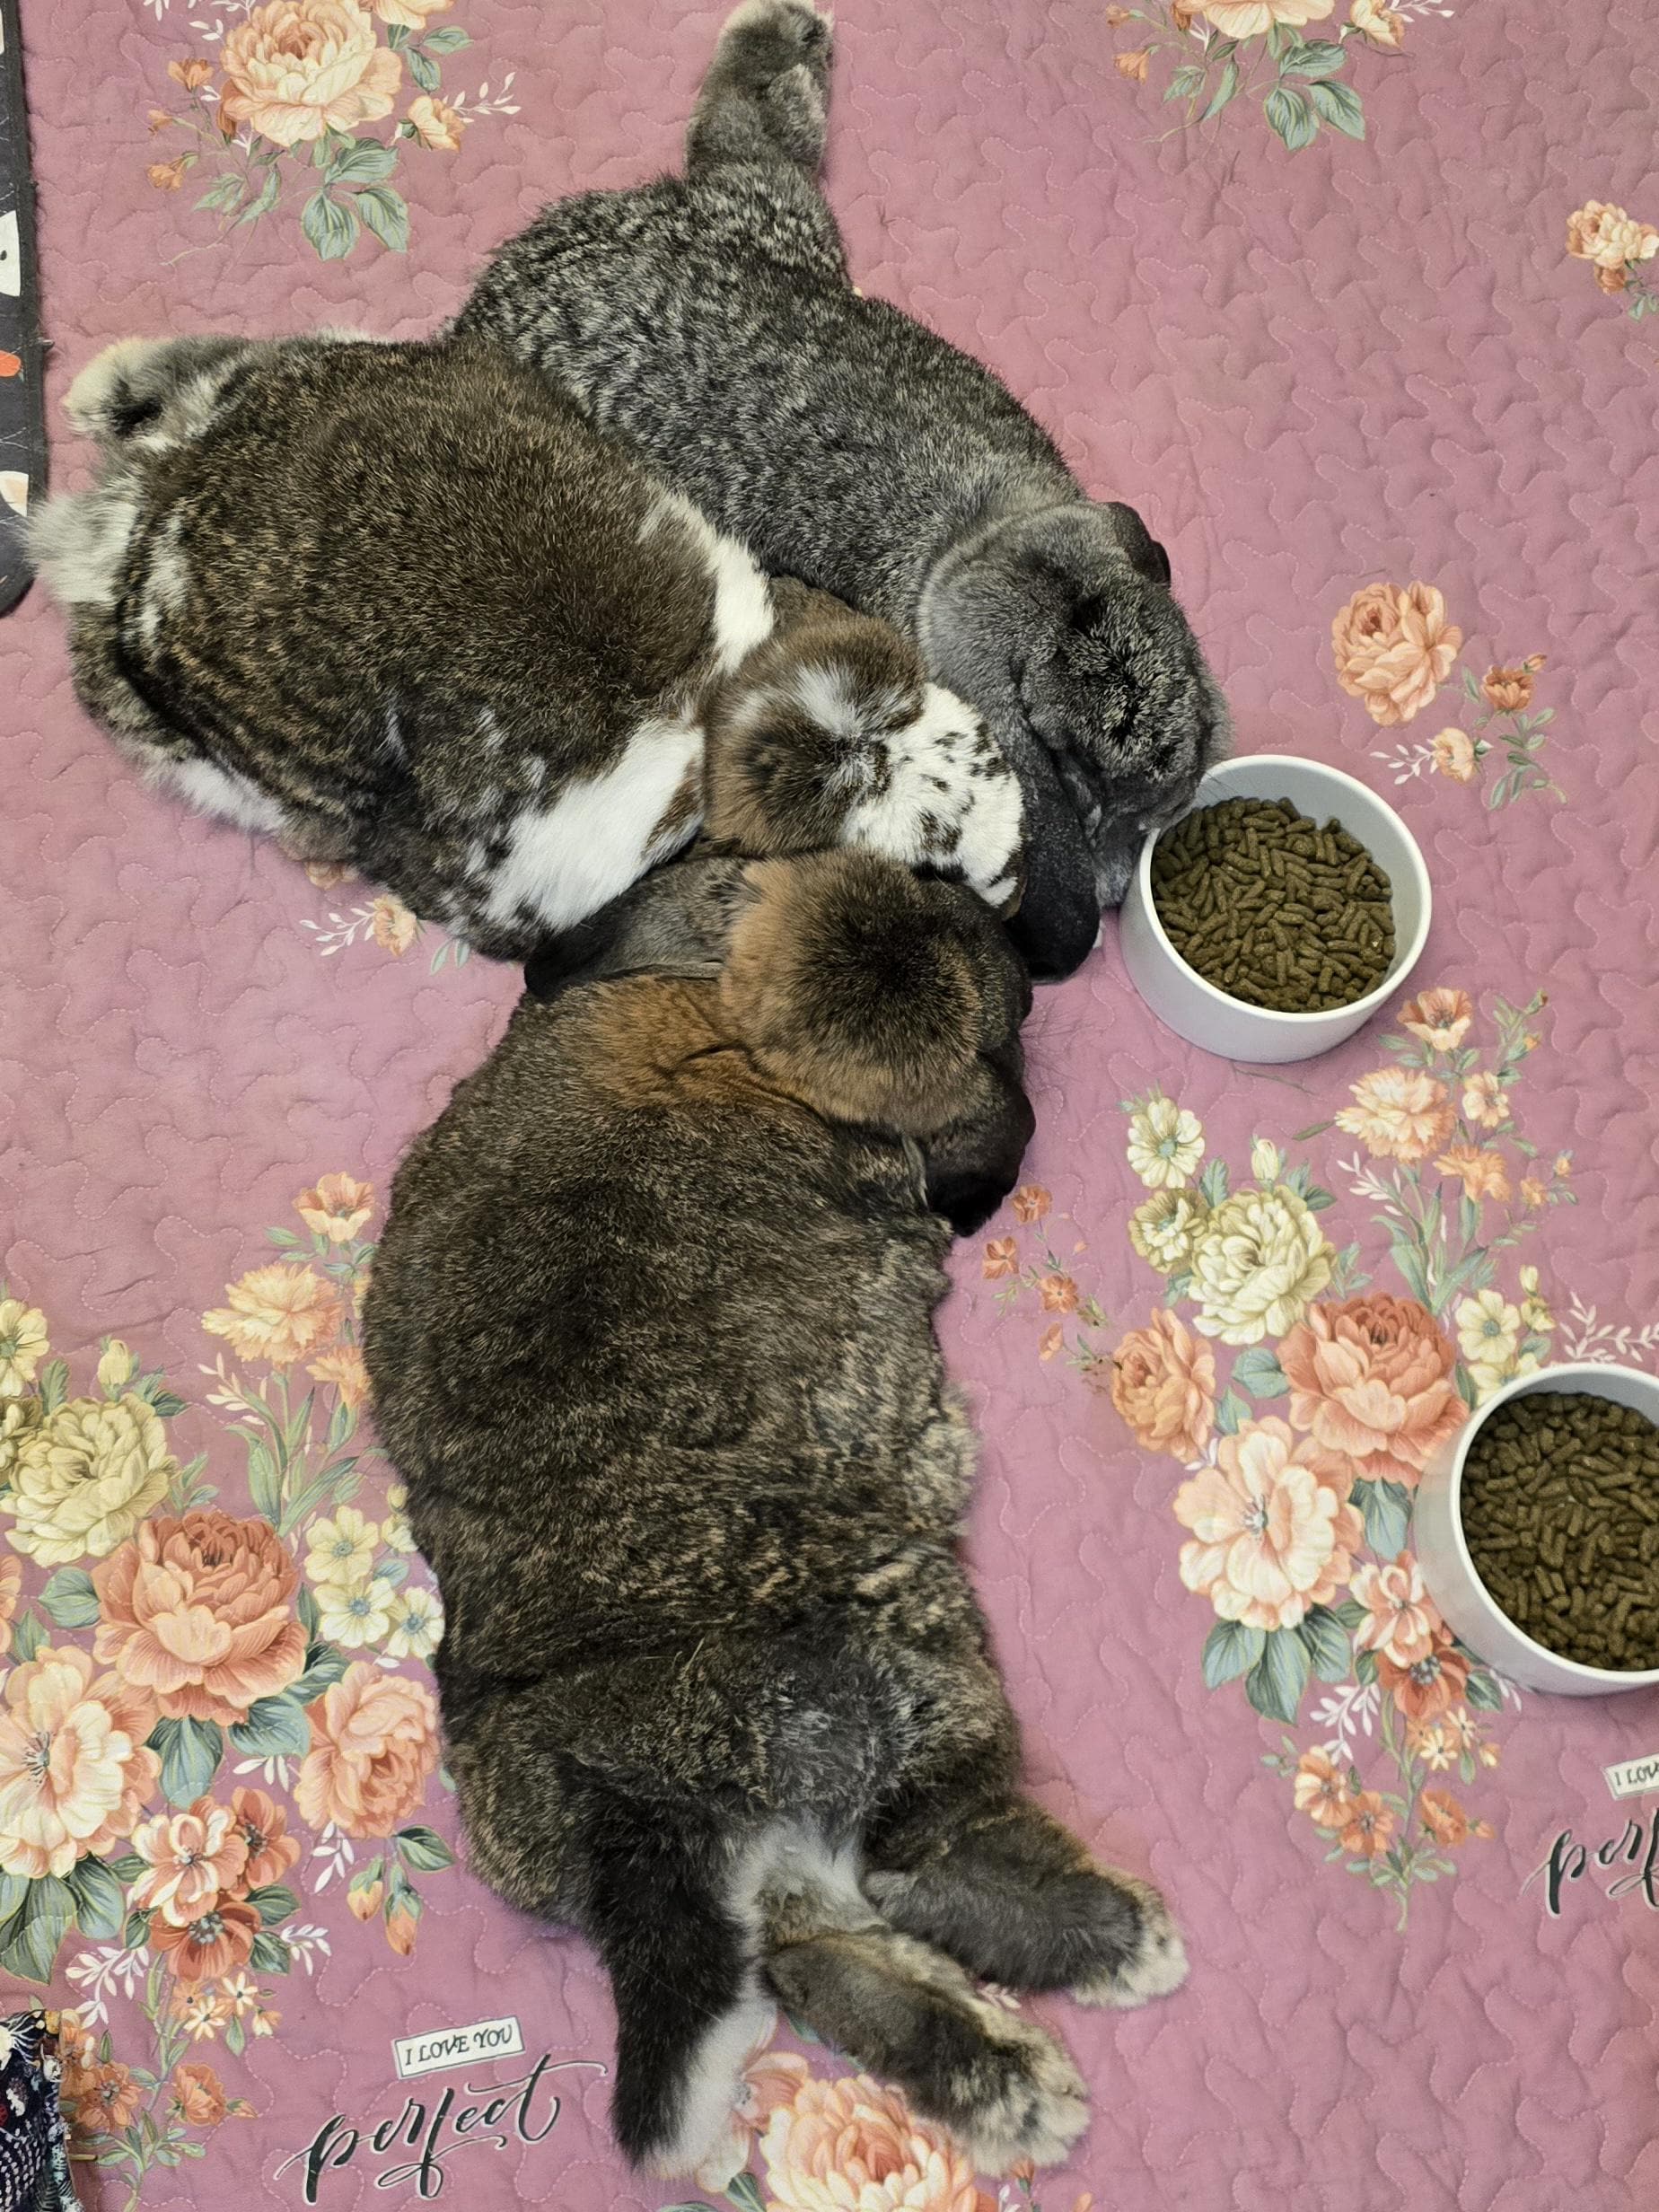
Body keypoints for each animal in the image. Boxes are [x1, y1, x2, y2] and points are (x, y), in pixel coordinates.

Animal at [362, 846, 1188, 2182]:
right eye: (992, 1016)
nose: (1004, 942)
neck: (731, 1022)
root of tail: (640, 1821)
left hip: (773, 1861)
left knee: (813, 1954)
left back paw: (1009, 2085)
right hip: (905, 1646)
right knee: (915, 1863)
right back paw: (1116, 1947)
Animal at [454, 0, 1231, 981]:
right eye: (1084, 786)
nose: (1119, 888)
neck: (989, 543)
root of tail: (511, 275)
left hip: (781, 213)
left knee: (749, 127)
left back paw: (785, 28)